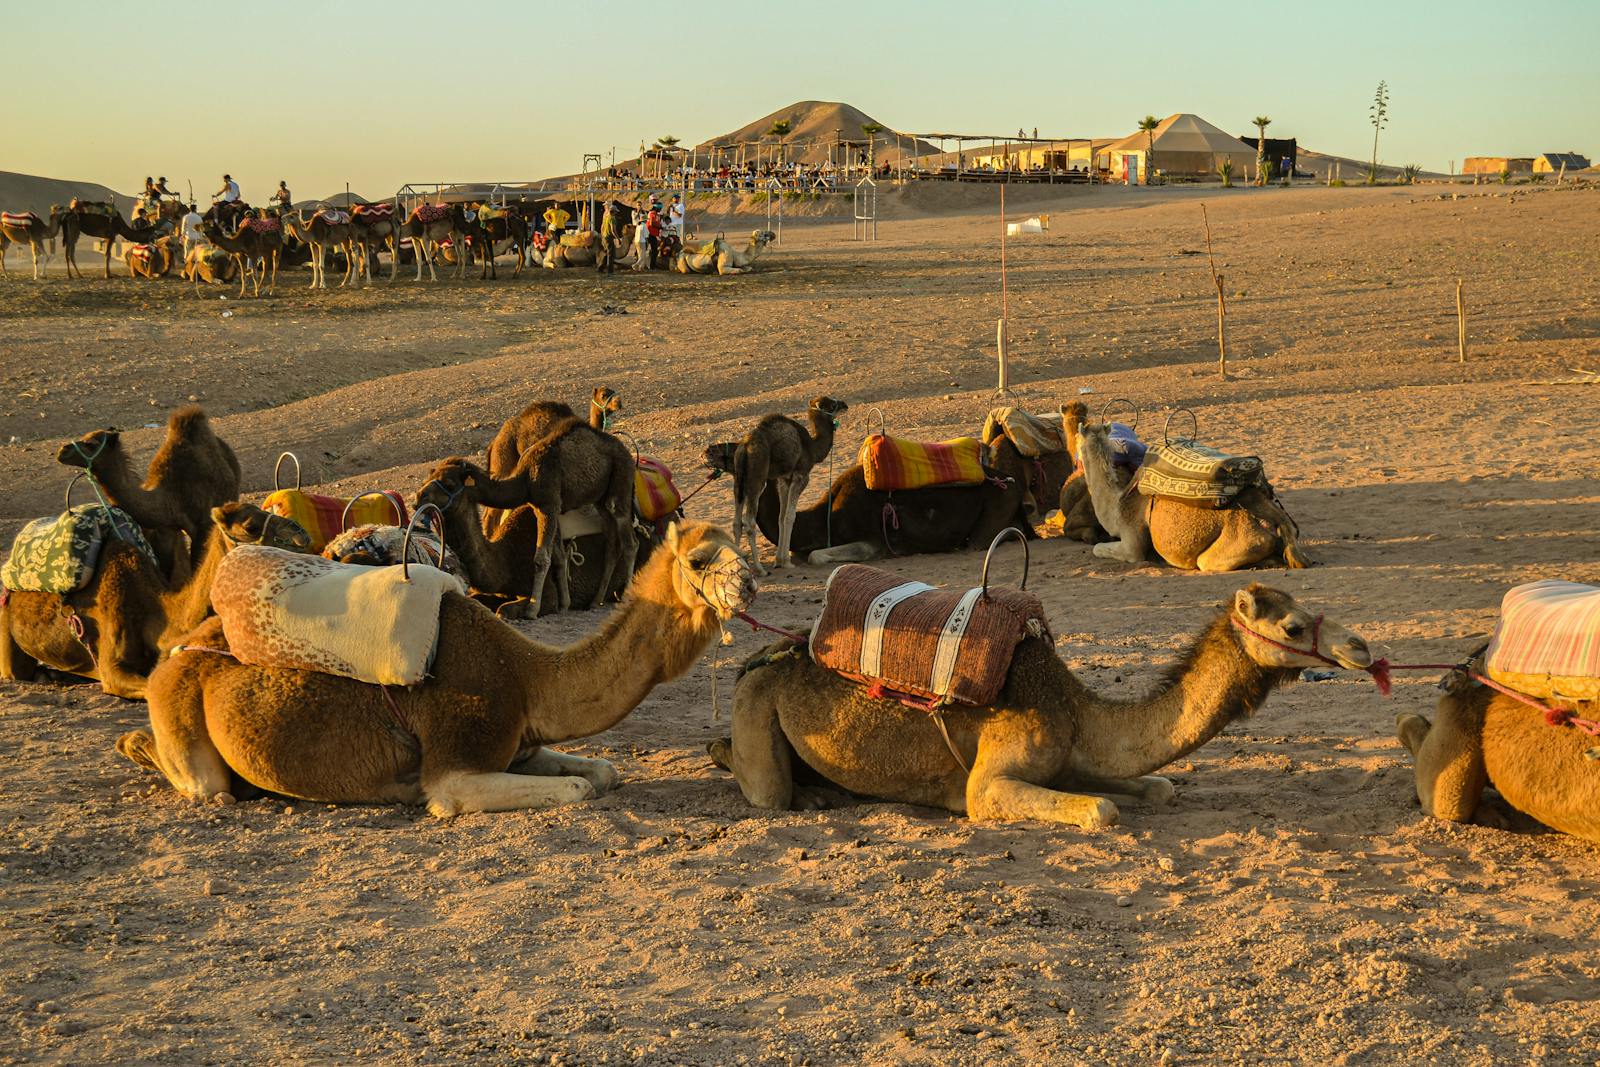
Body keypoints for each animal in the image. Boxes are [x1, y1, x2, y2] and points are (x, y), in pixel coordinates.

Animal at [56, 406, 243, 572]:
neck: (169, 496)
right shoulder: (165, 529)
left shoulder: (201, 527)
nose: (62, 451)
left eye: (92, 444)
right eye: (83, 436)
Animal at [116, 521, 755, 814]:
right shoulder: (456, 759)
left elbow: (602, 772)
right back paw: (138, 746)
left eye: (738, 544)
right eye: (700, 558)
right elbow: (575, 788)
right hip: (185, 722)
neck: (528, 678)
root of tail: (178, 653)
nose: (748, 583)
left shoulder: (520, 745)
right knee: (205, 784)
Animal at [711, 584, 1372, 823]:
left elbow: (1157, 787)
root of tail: (761, 657)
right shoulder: (990, 782)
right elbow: (1101, 810)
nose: (1360, 648)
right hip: (754, 704)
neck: (1077, 711)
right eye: (1292, 626)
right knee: (760, 783)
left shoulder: (1071, 760)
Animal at [729, 397, 849, 576]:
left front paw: (780, 561)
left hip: (739, 480)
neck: (811, 448)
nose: (844, 404)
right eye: (833, 404)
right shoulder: (801, 476)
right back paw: (759, 569)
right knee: (749, 521)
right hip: (757, 479)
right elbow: (790, 516)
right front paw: (786, 562)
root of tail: (744, 448)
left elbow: (781, 516)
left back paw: (741, 566)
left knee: (737, 522)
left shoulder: (784, 479)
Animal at [1077, 421, 1311, 572]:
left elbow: (1098, 548)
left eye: (1077, 439)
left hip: (1230, 547)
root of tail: (1278, 522)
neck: (1117, 506)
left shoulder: (1132, 542)